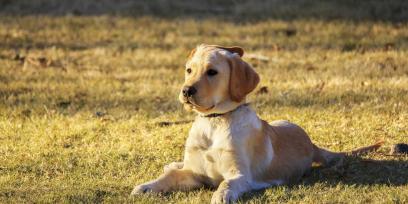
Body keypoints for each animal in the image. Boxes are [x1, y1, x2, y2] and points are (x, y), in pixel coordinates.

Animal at [132, 44, 384, 202]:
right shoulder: (194, 172)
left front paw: (221, 195)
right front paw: (147, 186)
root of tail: (311, 145)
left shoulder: (240, 175)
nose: (186, 91)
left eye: (212, 72)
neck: (215, 122)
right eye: (189, 70)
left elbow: (227, 183)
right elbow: (169, 177)